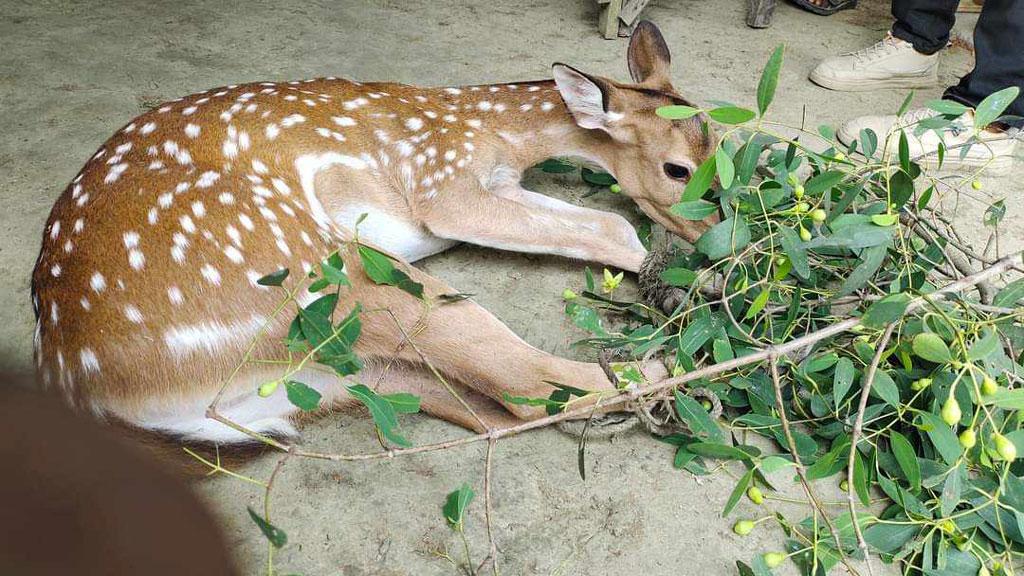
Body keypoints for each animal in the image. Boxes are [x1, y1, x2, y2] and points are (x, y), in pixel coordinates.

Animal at [32, 19, 716, 438]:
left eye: (720, 139)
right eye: (676, 168)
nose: (715, 230)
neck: (492, 131)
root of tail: (91, 389)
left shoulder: (492, 186)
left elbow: (603, 222)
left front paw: (694, 281)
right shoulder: (442, 186)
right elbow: (612, 227)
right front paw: (693, 282)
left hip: (321, 374)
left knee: (489, 410)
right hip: (321, 270)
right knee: (533, 389)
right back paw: (681, 376)